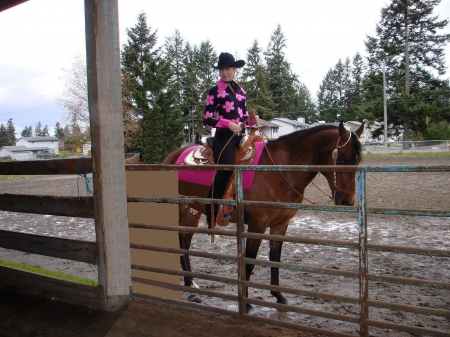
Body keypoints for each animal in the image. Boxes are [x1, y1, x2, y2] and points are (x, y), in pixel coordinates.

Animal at [163, 120, 364, 310]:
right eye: (343, 159)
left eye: (358, 160)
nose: (347, 200)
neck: (280, 170)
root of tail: (171, 157)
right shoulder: (257, 224)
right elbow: (249, 261)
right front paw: (246, 304)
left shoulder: (281, 224)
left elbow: (275, 259)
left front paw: (279, 296)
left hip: (192, 213)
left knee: (185, 244)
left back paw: (191, 286)